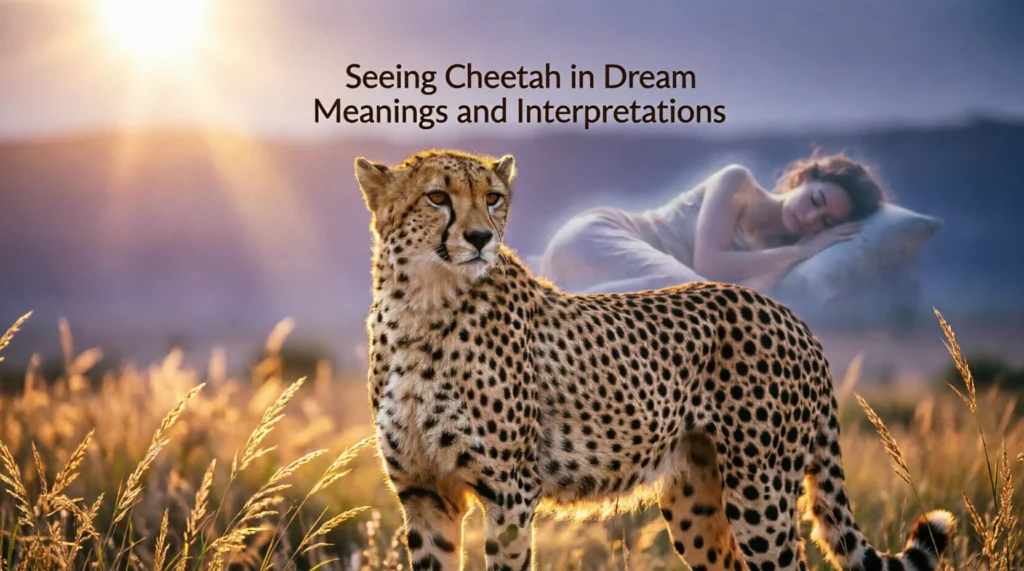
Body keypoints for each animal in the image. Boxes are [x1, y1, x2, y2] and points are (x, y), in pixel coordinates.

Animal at [354, 148, 953, 571]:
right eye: (437, 197)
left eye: (494, 197)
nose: (480, 238)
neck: (421, 307)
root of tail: (789, 314)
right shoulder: (425, 494)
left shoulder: (510, 493)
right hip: (697, 499)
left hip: (760, 491)